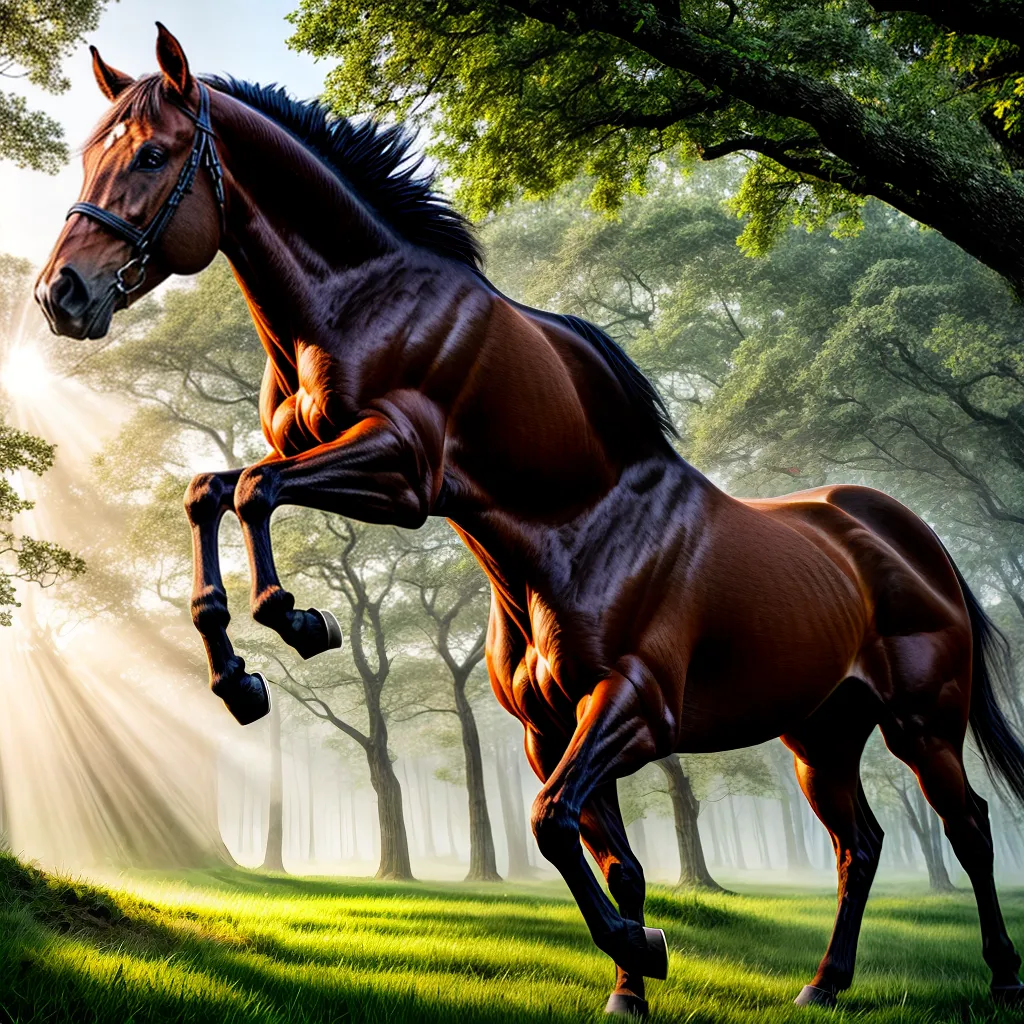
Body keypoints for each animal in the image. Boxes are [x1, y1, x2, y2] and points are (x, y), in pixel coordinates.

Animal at [36, 24, 1024, 1017]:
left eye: (152, 155)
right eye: (88, 155)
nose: (61, 294)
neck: (574, 525)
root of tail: (910, 538)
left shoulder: (437, 504)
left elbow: (551, 822)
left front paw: (295, 622)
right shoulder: (550, 728)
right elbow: (212, 488)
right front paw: (240, 675)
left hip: (921, 724)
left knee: (971, 827)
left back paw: (1002, 975)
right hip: (820, 736)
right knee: (861, 843)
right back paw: (822, 985)